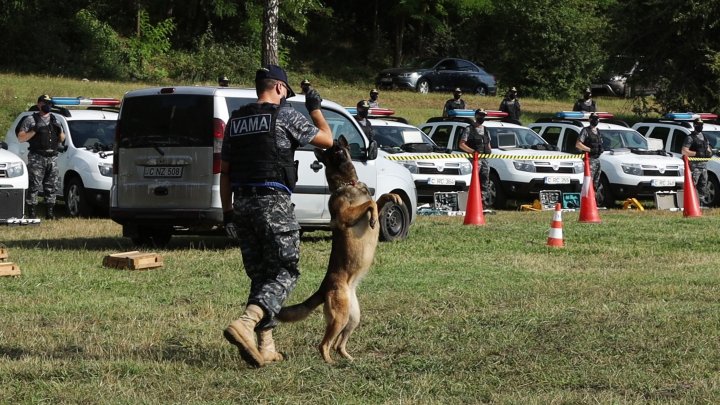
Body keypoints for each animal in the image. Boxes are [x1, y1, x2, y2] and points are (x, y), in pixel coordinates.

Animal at [276, 136, 402, 362]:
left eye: (340, 148)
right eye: (332, 151)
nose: (337, 140)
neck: (348, 183)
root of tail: (324, 287)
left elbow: (379, 199)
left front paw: (394, 198)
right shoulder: (345, 216)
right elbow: (370, 204)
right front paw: (372, 219)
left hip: (353, 318)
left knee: (337, 344)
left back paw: (348, 359)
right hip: (339, 317)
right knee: (324, 344)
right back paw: (329, 363)